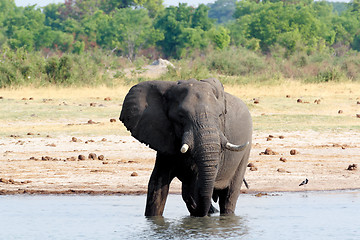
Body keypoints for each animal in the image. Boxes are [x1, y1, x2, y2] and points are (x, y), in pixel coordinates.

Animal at [119, 78, 252, 217]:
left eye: (220, 115)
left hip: (245, 153)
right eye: (181, 116)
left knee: (229, 195)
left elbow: (193, 183)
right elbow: (157, 184)